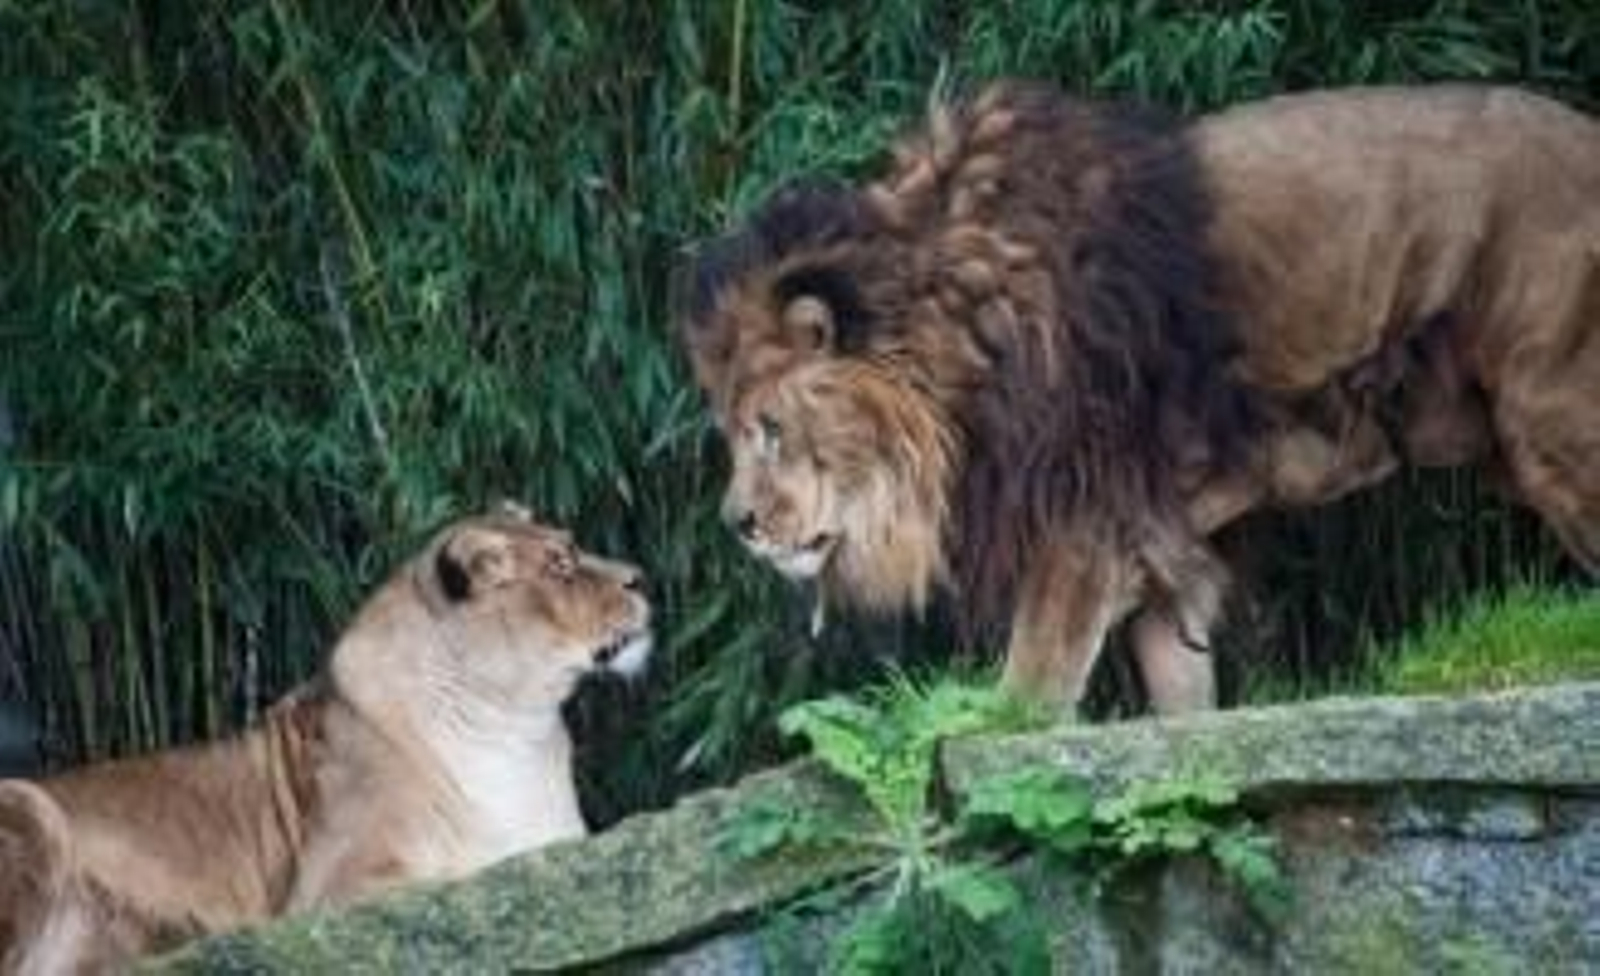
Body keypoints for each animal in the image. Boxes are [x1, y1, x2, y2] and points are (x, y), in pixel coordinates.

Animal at [0, 505, 652, 973]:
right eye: (561, 565)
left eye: (569, 548)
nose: (642, 577)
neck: (516, 726)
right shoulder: (330, 893)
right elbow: (459, 880)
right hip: (31, 807)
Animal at [680, 81, 1599, 715]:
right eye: (731, 433)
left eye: (769, 427)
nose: (737, 525)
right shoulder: (1158, 555)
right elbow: (1181, 710)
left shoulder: (1081, 530)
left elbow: (1023, 702)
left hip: (1554, 425)